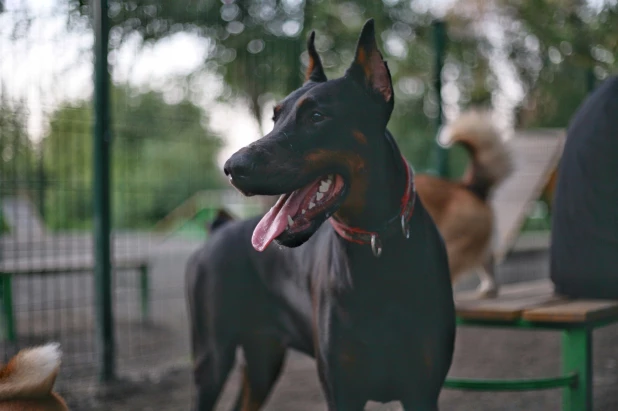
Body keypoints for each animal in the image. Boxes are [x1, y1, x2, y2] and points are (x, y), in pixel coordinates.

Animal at [185, 19, 454, 411]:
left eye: (317, 116)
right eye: (275, 116)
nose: (232, 167)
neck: (375, 246)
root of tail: (216, 232)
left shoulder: (422, 389)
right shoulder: (341, 388)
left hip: (263, 356)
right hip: (212, 356)